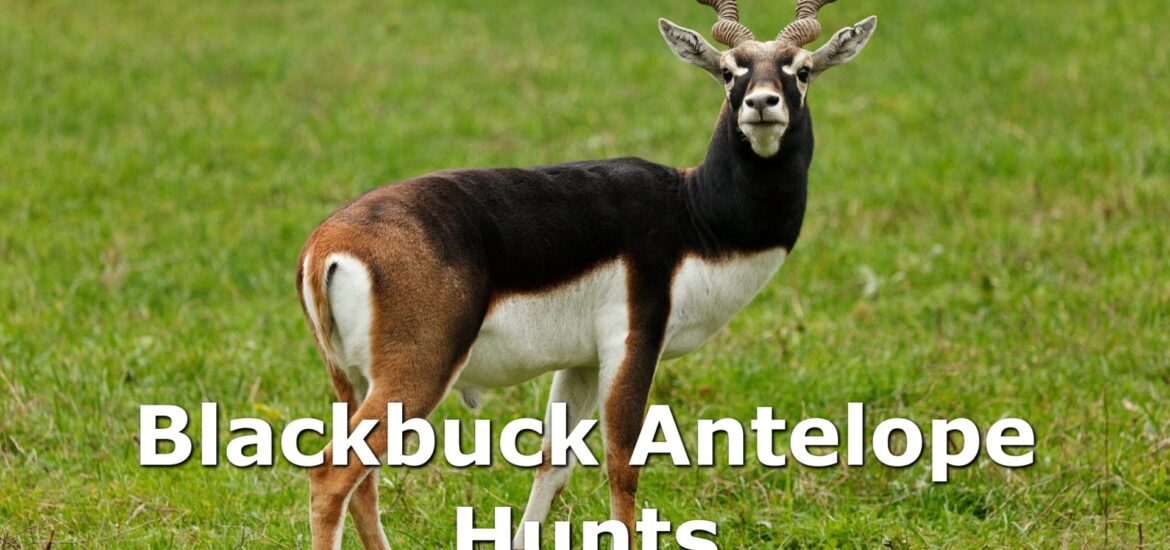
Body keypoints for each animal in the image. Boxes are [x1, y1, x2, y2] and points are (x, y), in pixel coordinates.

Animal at [297, 2, 875, 547]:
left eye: (801, 69)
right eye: (731, 71)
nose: (761, 104)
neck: (693, 214)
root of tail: (326, 245)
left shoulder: (582, 363)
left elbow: (553, 463)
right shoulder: (634, 342)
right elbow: (623, 464)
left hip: (351, 382)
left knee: (363, 482)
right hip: (417, 374)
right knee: (332, 474)